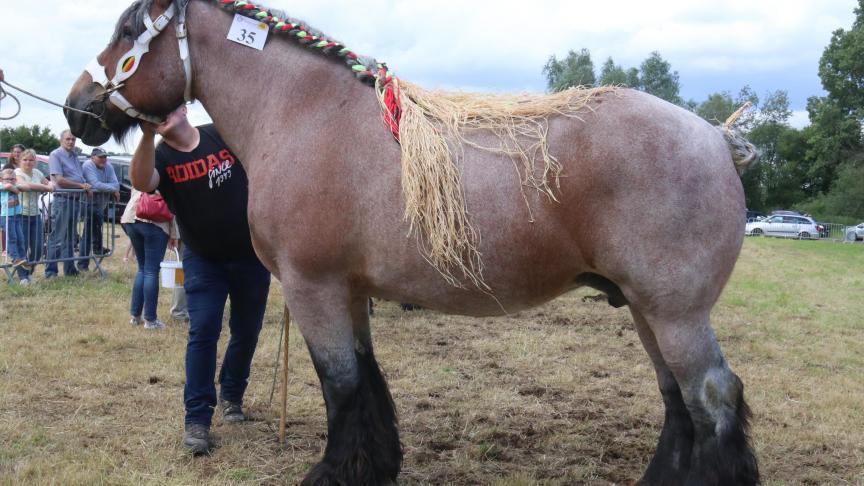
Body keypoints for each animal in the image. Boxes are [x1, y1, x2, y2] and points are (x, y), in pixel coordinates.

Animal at [66, 1, 756, 484]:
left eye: (127, 30)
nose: (77, 109)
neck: (304, 113)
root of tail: (714, 138)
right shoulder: (349, 293)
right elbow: (366, 382)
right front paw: (374, 466)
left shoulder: (314, 288)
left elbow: (341, 385)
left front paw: (332, 473)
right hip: (646, 308)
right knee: (679, 401)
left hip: (675, 312)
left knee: (713, 398)